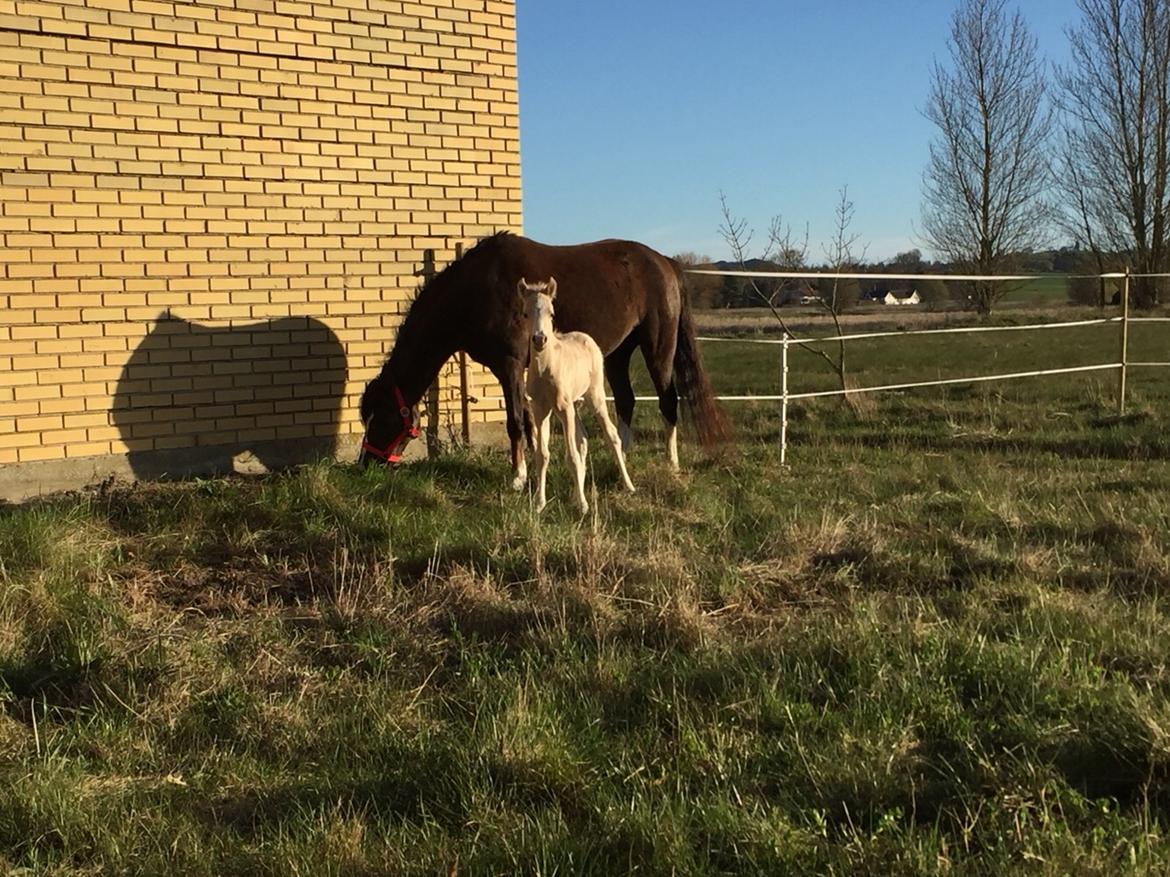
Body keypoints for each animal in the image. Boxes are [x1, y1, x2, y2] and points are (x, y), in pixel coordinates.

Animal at [359, 232, 729, 484]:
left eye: (380, 418)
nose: (365, 465)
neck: (476, 290)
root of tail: (666, 262)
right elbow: (529, 419)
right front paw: (535, 469)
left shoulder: (509, 365)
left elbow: (515, 420)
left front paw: (517, 477)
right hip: (617, 353)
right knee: (626, 401)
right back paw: (621, 458)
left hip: (658, 347)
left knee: (668, 400)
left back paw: (671, 462)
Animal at [521, 277, 635, 512]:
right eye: (525, 313)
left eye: (551, 313)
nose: (539, 340)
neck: (547, 367)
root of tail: (587, 338)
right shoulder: (540, 409)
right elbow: (542, 455)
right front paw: (539, 503)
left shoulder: (563, 408)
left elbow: (571, 456)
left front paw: (583, 506)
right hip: (574, 404)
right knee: (582, 438)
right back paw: (575, 495)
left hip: (595, 396)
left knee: (611, 435)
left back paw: (628, 485)